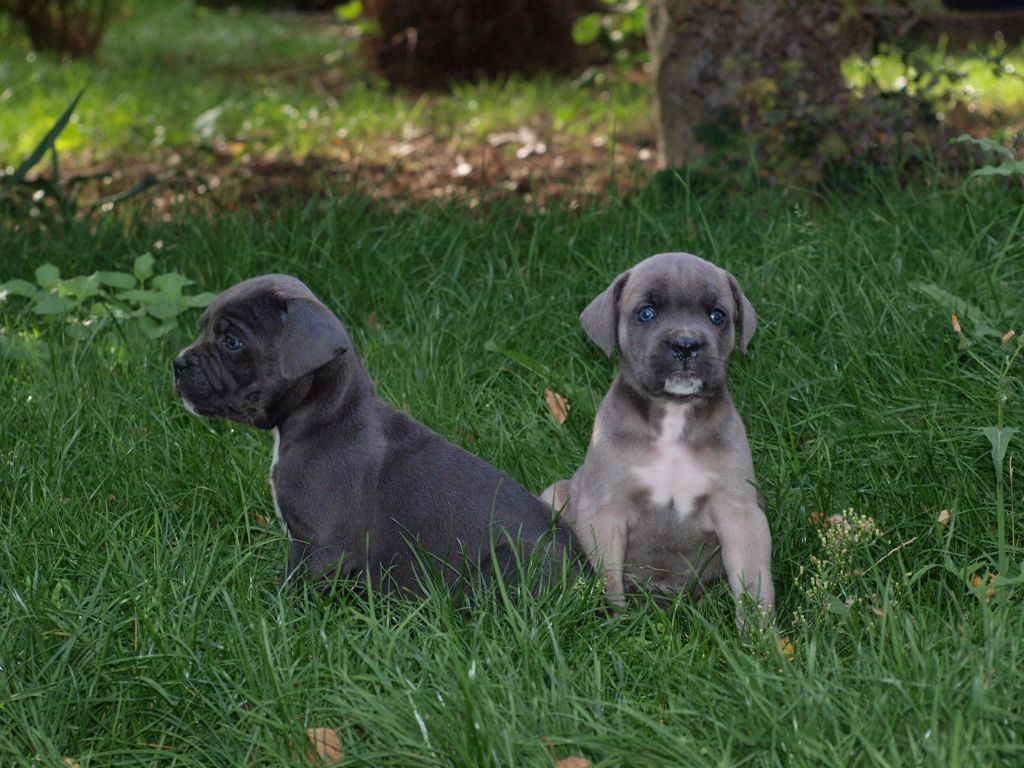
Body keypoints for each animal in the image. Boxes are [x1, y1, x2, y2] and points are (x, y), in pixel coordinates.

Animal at [172, 276, 581, 593]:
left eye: (232, 343)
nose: (177, 363)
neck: (327, 413)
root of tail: (586, 580)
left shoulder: (321, 547)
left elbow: (292, 589)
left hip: (506, 562)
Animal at [540, 252, 770, 626]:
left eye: (717, 316)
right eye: (646, 313)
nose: (686, 345)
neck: (674, 414)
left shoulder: (741, 515)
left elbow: (756, 588)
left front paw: (761, 638)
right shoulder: (605, 513)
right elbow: (609, 582)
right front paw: (615, 624)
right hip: (555, 494)